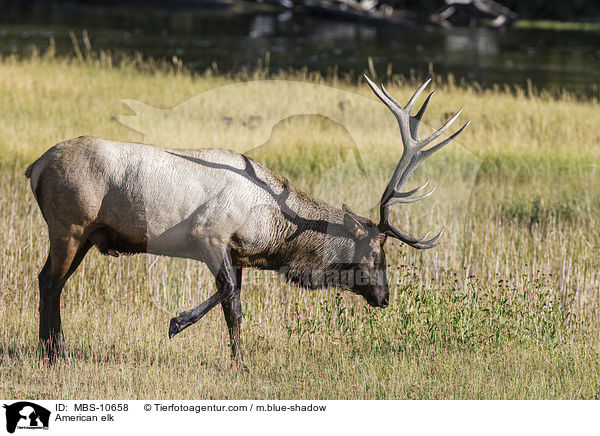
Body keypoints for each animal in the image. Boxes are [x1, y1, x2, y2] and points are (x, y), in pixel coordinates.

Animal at [25, 76, 468, 364]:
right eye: (377, 254)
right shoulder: (208, 234)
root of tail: (36, 166)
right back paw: (52, 353)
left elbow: (234, 307)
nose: (385, 297)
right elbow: (229, 295)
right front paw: (177, 323)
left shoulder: (237, 253)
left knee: (56, 283)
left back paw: (56, 349)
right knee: (48, 280)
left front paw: (239, 361)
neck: (273, 231)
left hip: (83, 236)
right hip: (69, 226)